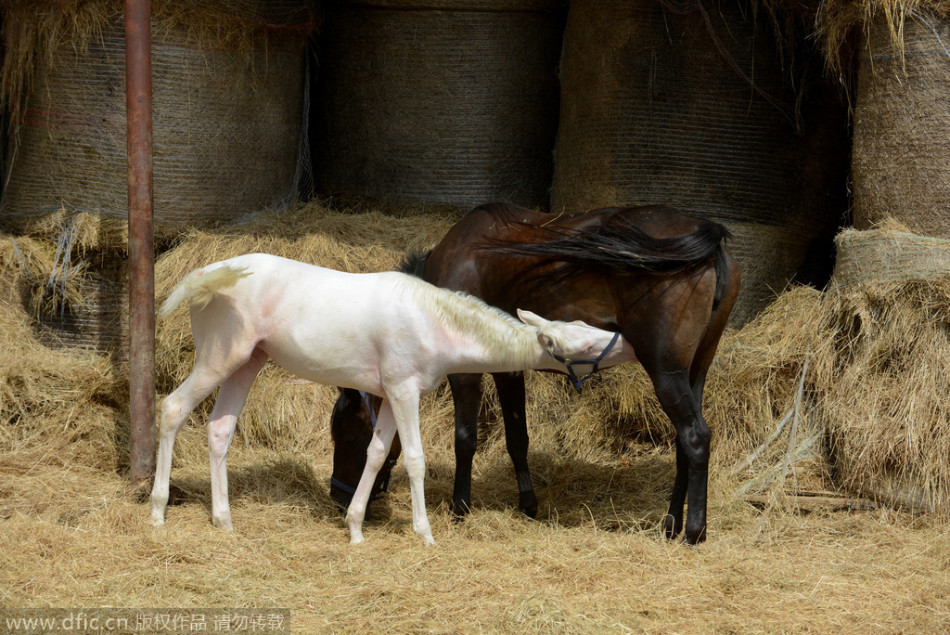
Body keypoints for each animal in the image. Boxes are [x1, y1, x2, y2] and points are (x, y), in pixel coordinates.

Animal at [152, 255, 636, 548]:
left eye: (586, 329)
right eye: (587, 346)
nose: (630, 343)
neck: (432, 322)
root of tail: (209, 273)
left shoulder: (386, 396)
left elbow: (377, 453)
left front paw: (355, 528)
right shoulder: (404, 391)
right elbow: (416, 459)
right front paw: (425, 534)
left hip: (247, 363)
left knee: (219, 429)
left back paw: (223, 519)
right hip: (219, 358)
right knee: (172, 409)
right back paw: (158, 511)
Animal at [330, 202, 740, 540]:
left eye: (348, 436)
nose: (337, 496)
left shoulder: (464, 374)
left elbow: (465, 438)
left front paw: (460, 507)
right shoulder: (506, 369)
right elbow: (517, 438)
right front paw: (527, 503)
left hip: (666, 373)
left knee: (695, 436)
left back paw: (693, 530)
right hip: (694, 372)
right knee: (684, 443)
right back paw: (672, 524)